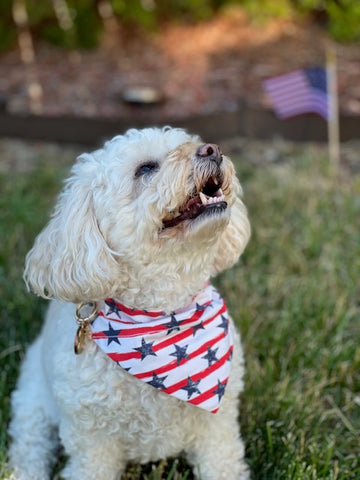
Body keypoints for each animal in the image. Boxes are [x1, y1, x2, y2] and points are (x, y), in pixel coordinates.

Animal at [8, 127, 250, 480]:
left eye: (189, 141)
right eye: (145, 169)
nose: (212, 150)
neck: (162, 314)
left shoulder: (218, 429)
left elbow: (223, 464)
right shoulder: (91, 441)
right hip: (32, 400)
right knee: (28, 446)